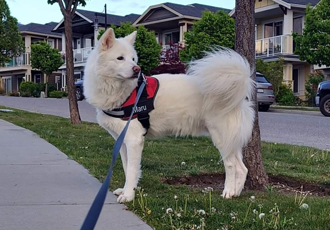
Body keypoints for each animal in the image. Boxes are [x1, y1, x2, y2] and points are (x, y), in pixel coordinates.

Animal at [83, 28, 255, 203]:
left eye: (133, 59)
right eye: (120, 58)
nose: (137, 69)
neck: (126, 92)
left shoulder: (134, 140)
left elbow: (131, 170)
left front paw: (129, 195)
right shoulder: (123, 141)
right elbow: (126, 168)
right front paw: (125, 191)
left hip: (220, 137)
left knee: (231, 165)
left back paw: (228, 191)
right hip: (231, 140)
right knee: (243, 168)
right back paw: (236, 192)